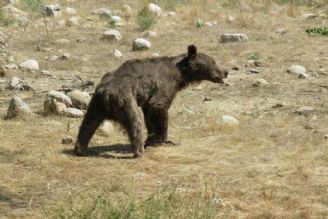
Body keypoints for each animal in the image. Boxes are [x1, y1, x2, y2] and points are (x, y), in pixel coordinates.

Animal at [74, 45, 228, 157]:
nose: (226, 71)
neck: (180, 75)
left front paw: (152, 139)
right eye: (213, 61)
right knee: (134, 122)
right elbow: (159, 107)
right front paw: (163, 140)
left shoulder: (148, 98)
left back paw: (80, 149)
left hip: (96, 103)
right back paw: (139, 151)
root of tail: (106, 92)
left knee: (88, 123)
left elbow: (149, 114)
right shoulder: (164, 85)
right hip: (125, 99)